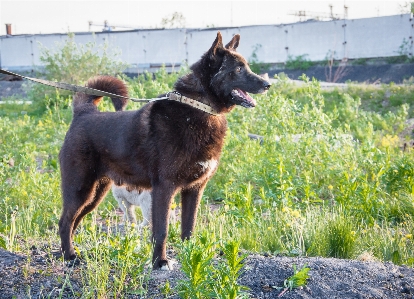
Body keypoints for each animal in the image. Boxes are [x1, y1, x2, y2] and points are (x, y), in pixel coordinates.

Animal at [59, 31, 272, 270]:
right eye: (238, 69)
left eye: (247, 66)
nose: (267, 84)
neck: (198, 108)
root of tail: (84, 113)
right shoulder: (164, 188)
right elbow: (161, 231)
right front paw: (159, 262)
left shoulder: (194, 189)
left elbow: (189, 227)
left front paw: (191, 256)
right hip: (81, 189)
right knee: (64, 221)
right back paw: (70, 256)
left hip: (95, 194)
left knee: (73, 221)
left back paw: (70, 252)